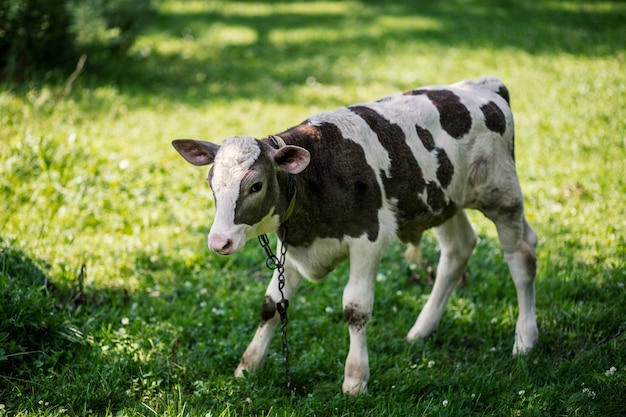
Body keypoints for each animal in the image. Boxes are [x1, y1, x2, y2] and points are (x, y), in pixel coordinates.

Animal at [171, 77, 536, 394]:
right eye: (211, 183)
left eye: (256, 185)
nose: (219, 242)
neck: (316, 176)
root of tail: (482, 85)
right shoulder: (292, 243)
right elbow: (272, 304)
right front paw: (248, 366)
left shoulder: (368, 239)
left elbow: (355, 308)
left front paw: (355, 379)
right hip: (441, 200)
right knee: (458, 249)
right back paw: (421, 330)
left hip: (502, 193)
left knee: (521, 254)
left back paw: (525, 339)